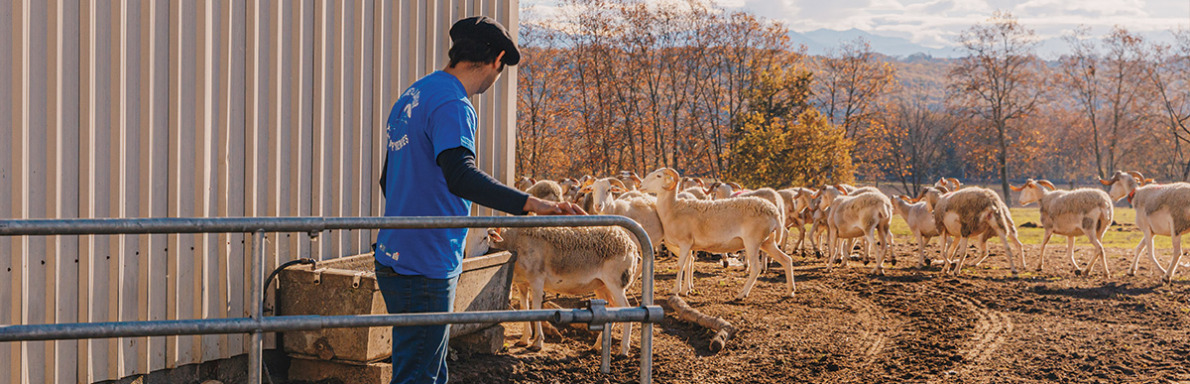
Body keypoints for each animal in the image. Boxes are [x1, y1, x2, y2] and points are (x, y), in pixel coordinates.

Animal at [485, 227, 642, 356]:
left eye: (485, 237)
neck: (514, 240)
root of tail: (631, 245)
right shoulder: (522, 282)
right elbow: (525, 308)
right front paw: (524, 340)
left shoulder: (537, 279)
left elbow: (535, 308)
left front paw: (537, 343)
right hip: (601, 285)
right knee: (613, 308)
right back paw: (597, 346)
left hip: (616, 283)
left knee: (626, 309)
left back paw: (623, 350)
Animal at [637, 168, 794, 300]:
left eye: (658, 176)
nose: (640, 186)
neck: (673, 208)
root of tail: (774, 211)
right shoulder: (689, 246)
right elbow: (688, 264)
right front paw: (685, 290)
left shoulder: (684, 242)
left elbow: (680, 265)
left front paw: (675, 291)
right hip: (767, 242)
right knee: (786, 260)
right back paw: (790, 291)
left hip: (753, 242)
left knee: (756, 268)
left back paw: (741, 294)